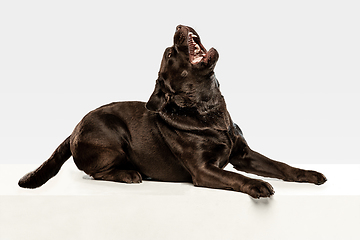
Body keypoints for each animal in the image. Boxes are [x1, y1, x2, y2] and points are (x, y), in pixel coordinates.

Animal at [18, 24, 326, 199]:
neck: (208, 108)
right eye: (169, 55)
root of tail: (72, 131)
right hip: (111, 136)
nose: (179, 25)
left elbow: (281, 165)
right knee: (96, 173)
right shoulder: (203, 170)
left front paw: (309, 174)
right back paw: (129, 174)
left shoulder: (244, 155)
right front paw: (257, 185)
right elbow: (237, 177)